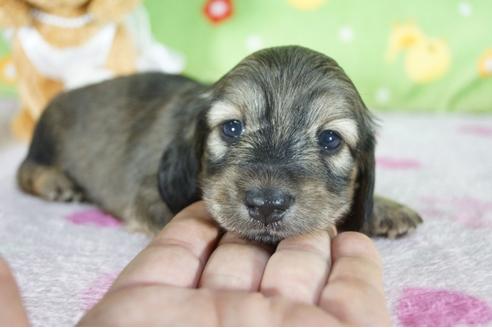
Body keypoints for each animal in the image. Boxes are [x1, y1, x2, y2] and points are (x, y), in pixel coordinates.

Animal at [16, 45, 422, 241]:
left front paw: (386, 208)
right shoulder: (148, 195)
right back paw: (55, 182)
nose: (267, 206)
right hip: (46, 141)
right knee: (24, 172)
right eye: (231, 128)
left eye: (330, 139)